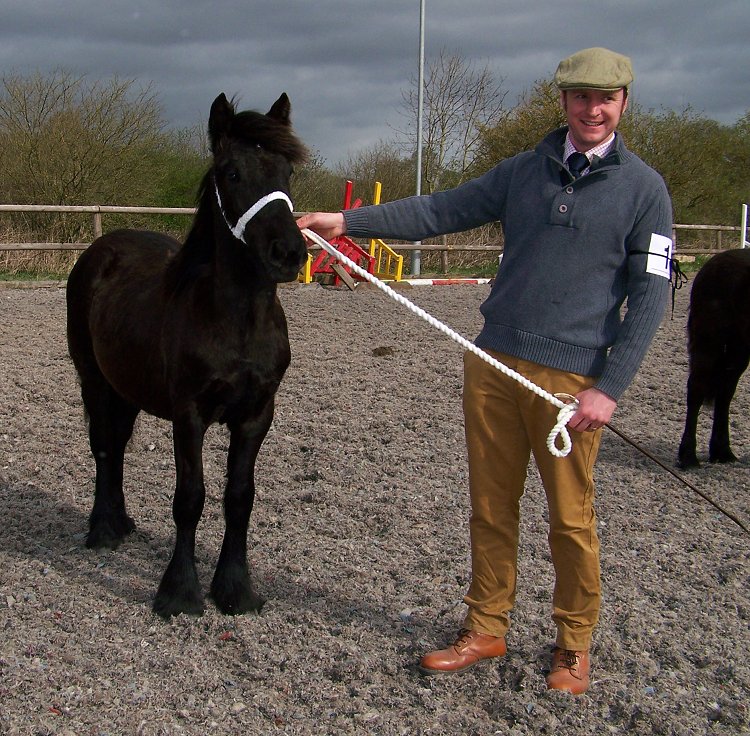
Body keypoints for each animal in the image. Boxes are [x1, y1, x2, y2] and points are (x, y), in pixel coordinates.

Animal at [67, 95, 308, 620]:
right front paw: (179, 592)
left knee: (117, 445)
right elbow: (190, 497)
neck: (236, 322)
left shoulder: (257, 415)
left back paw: (122, 523)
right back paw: (102, 530)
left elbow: (239, 498)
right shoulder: (189, 415)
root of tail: (101, 249)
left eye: (288, 172)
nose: (288, 253)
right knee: (102, 446)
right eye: (231, 172)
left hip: (127, 388)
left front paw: (235, 589)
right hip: (93, 379)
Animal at [680, 247, 750, 466]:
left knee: (724, 394)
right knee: (696, 390)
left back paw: (722, 452)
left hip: (738, 349)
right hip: (710, 343)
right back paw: (688, 456)